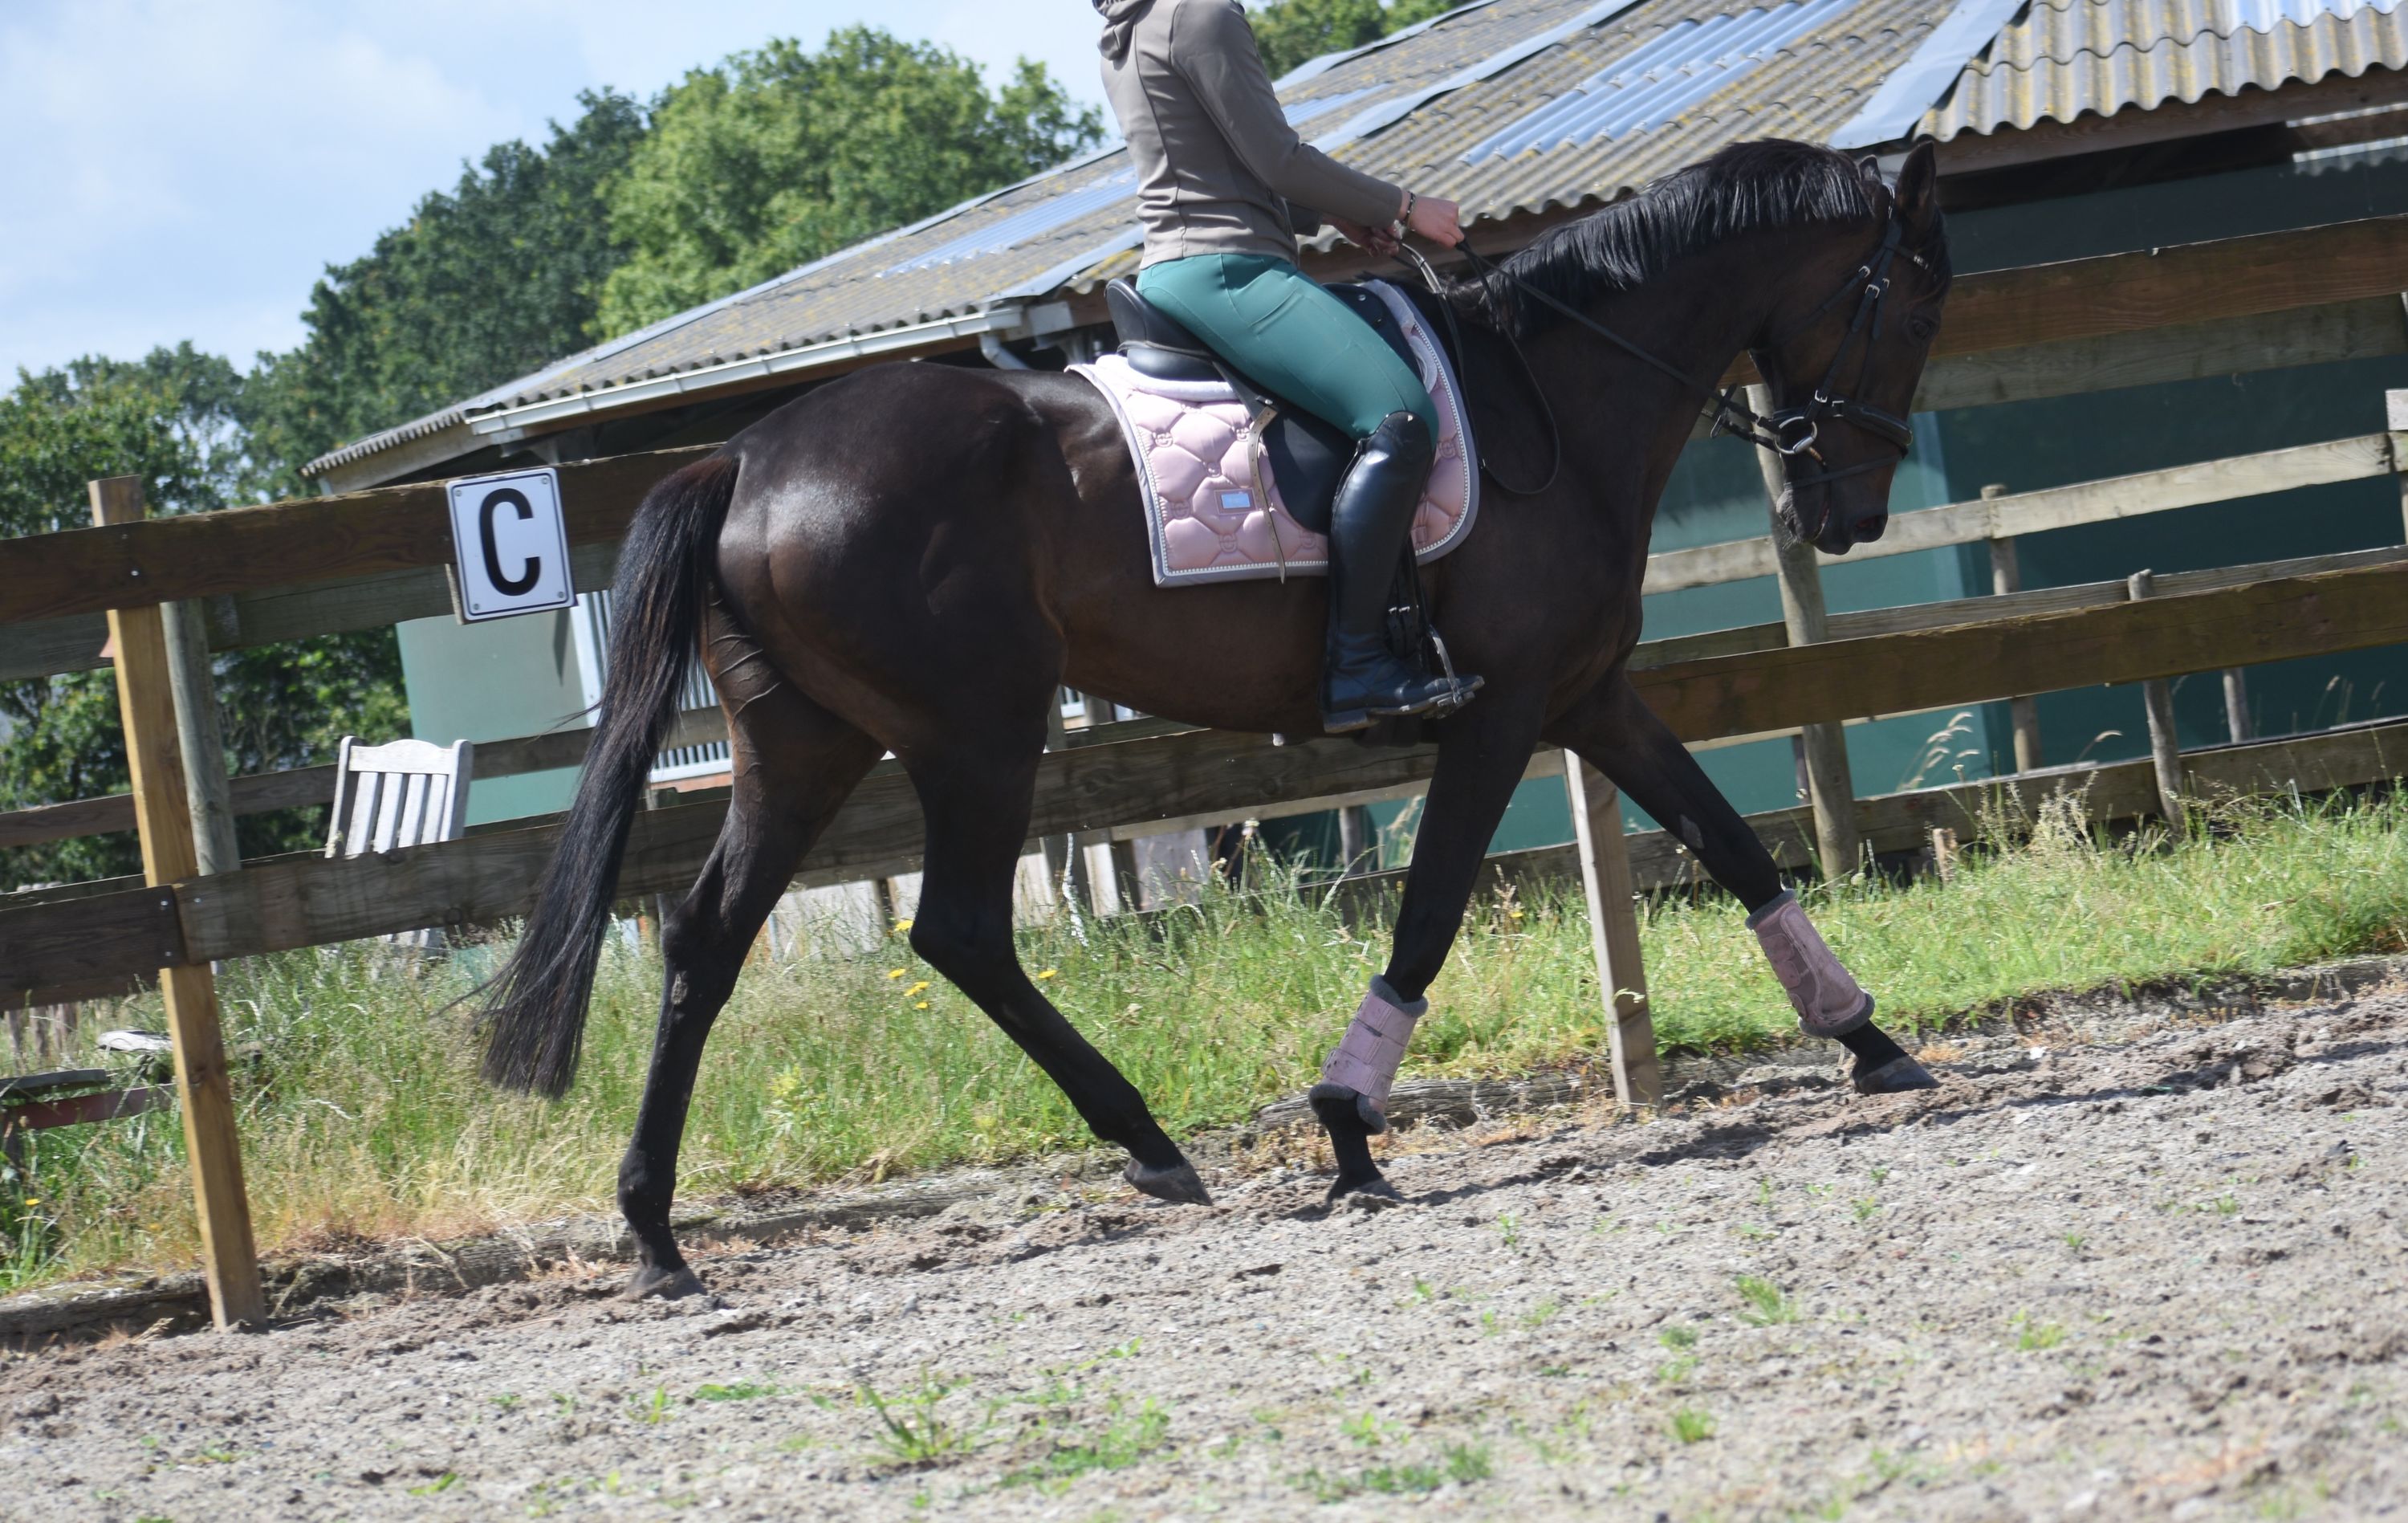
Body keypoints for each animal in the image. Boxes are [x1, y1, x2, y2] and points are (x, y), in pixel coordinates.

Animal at [476, 138, 1953, 1301]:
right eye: (1919, 304)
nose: (1849, 514)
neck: (1558, 396)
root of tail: (741, 455)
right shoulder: (1503, 710)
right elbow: (1432, 906)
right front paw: (1349, 1126)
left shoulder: (1589, 693)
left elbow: (1732, 843)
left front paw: (1872, 1040)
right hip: (978, 731)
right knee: (959, 929)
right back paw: (1147, 1142)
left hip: (806, 744)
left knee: (707, 941)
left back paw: (658, 1234)